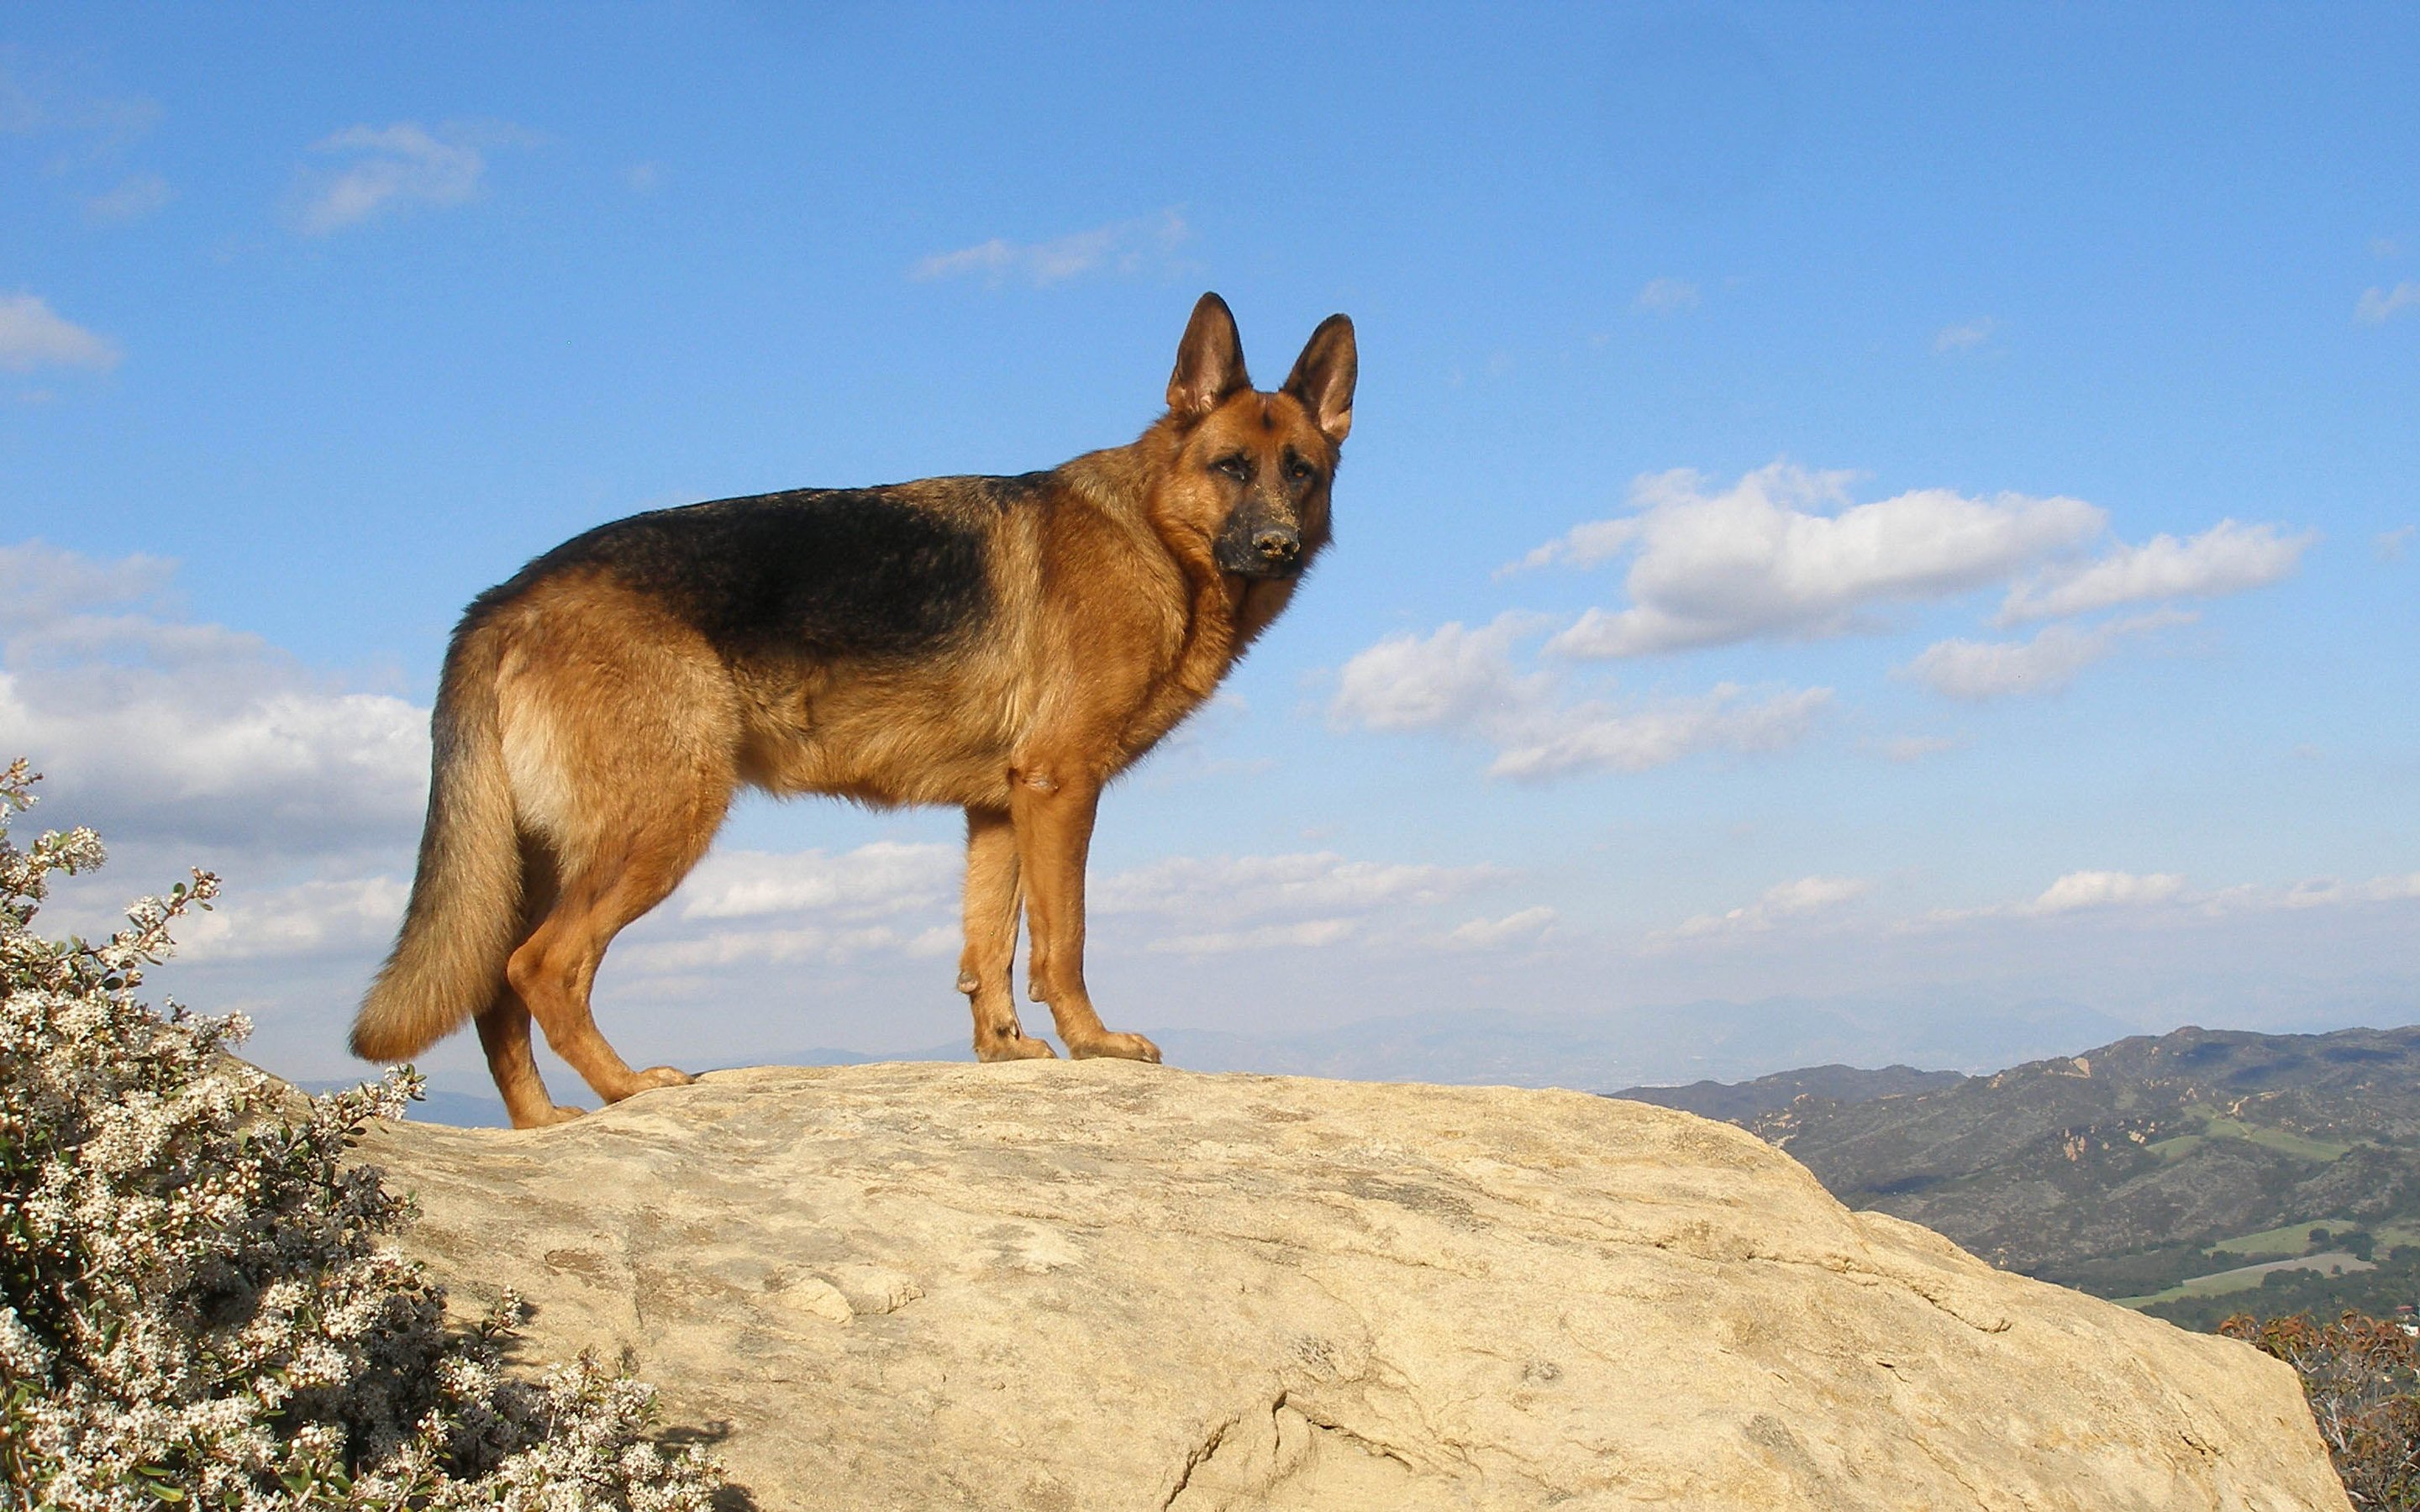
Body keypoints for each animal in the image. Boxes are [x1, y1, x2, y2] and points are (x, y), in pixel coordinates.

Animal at [350, 291, 1355, 1122]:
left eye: (1301, 471)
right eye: (1231, 467)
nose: (1279, 544)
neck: (1150, 532)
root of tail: (504, 598)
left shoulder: (1002, 808)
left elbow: (988, 942)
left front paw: (1005, 1051)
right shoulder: (1060, 787)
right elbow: (1060, 938)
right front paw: (1093, 1043)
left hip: (544, 856)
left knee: (494, 989)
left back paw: (544, 1126)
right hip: (660, 823)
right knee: (542, 966)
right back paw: (627, 1088)